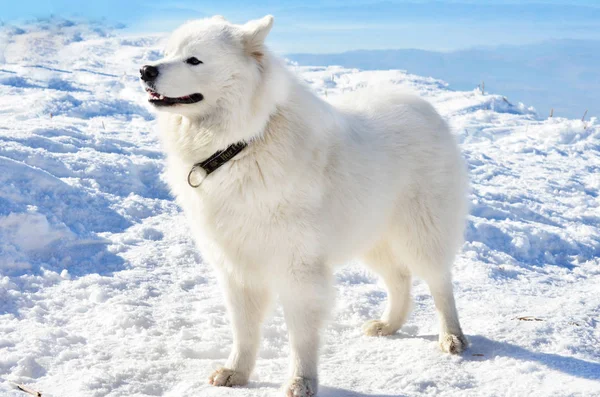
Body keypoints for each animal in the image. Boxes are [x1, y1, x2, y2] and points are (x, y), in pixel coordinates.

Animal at [141, 14, 468, 396]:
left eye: (194, 60)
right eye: (167, 53)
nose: (145, 70)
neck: (243, 144)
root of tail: (422, 103)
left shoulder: (298, 268)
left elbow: (301, 335)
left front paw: (302, 381)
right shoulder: (237, 266)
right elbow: (244, 330)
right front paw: (237, 372)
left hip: (421, 233)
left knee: (439, 283)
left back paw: (452, 337)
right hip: (371, 236)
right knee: (399, 278)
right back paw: (389, 325)